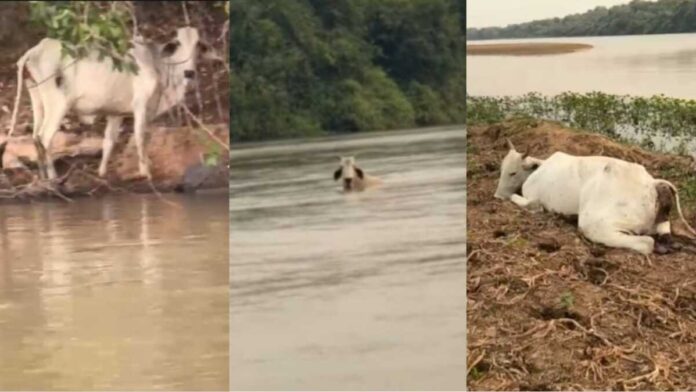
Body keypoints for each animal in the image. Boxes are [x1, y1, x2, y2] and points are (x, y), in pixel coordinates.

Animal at [7, 26, 220, 180]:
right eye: (177, 44)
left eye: (198, 46)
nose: (189, 72)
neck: (157, 65)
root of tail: (36, 49)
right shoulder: (141, 106)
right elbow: (141, 137)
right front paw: (146, 172)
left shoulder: (115, 113)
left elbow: (109, 142)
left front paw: (102, 173)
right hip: (58, 103)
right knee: (45, 136)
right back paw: (52, 177)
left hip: (36, 96)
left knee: (35, 136)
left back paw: (43, 176)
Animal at [492, 139, 696, 256]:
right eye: (501, 169)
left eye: (512, 172)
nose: (497, 196)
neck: (539, 168)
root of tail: (651, 183)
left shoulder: (532, 198)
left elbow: (521, 200)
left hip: (594, 224)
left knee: (646, 243)